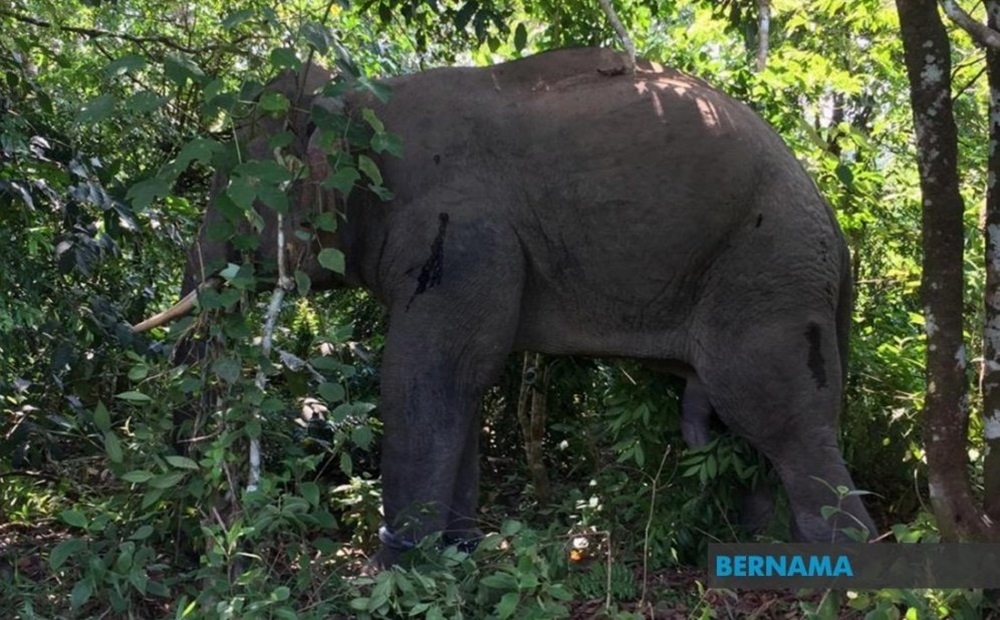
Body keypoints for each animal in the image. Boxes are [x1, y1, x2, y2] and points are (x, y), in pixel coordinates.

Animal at [133, 47, 876, 566]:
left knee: (780, 415)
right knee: (742, 430)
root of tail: (837, 231)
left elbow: (429, 373)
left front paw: (400, 569)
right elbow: (464, 379)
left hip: (769, 272)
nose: (208, 545)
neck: (363, 95)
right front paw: (458, 556)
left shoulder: (462, 230)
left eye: (235, 188)